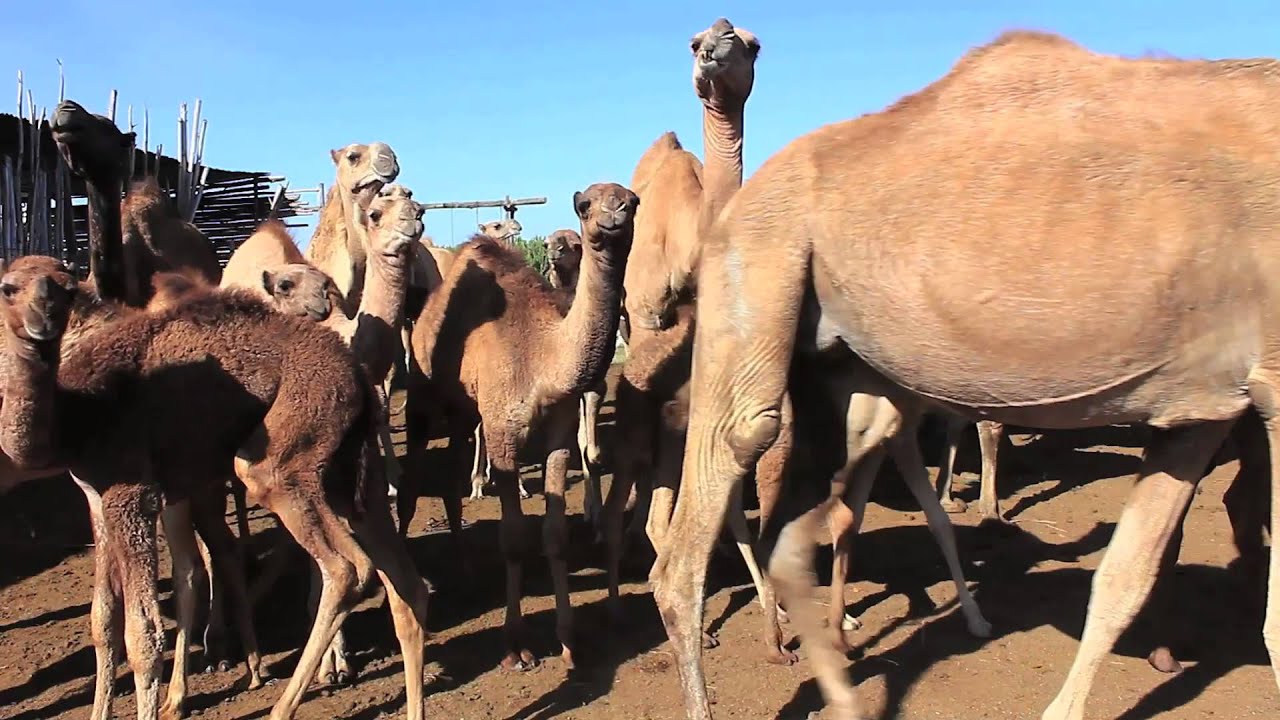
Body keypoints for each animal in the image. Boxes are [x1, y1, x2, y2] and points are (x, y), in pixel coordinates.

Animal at [403, 183, 637, 670]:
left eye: (633, 200)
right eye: (585, 204)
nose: (615, 215)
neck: (542, 355)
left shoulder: (559, 434)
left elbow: (555, 536)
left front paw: (569, 642)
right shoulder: (503, 435)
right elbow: (512, 539)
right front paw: (516, 646)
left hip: (464, 410)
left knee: (451, 476)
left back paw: (465, 567)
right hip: (422, 394)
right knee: (413, 483)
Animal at [647, 30, 1280, 720]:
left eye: (750, 46)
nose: (712, 48)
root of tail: (739, 205)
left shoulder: (1199, 410)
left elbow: (1125, 577)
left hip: (827, 360)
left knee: (795, 533)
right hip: (762, 268)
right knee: (702, 524)